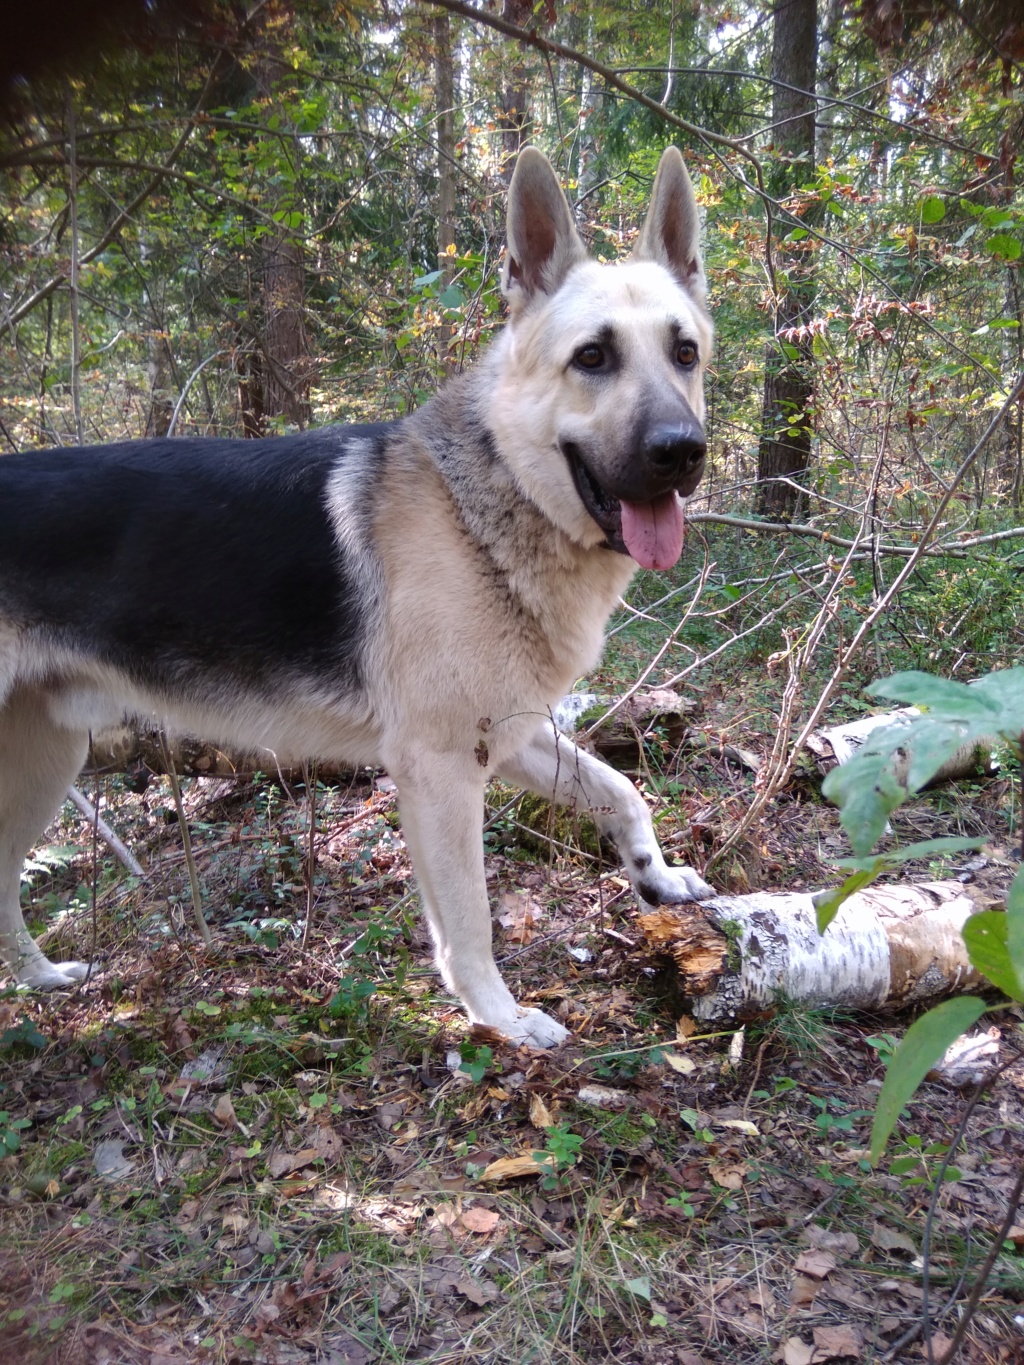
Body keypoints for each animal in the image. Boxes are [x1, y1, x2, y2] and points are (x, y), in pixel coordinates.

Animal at [0, 146, 715, 1042]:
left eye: (684, 353)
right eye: (593, 358)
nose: (682, 451)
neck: (482, 504)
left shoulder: (507, 734)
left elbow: (620, 791)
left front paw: (659, 873)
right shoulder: (440, 769)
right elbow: (470, 921)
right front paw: (501, 1018)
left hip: (45, 762)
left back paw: (40, 979)